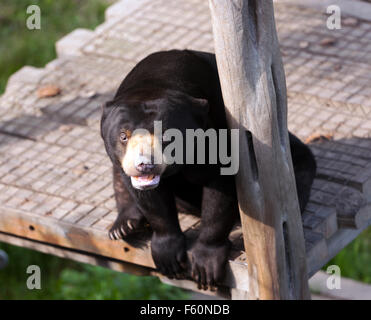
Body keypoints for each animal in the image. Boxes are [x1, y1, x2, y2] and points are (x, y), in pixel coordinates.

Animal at [99, 48, 316, 288]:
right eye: (123, 136)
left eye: (167, 136)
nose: (144, 165)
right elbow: (152, 201)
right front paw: (167, 256)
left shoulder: (215, 135)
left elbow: (220, 187)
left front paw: (205, 265)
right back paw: (123, 226)